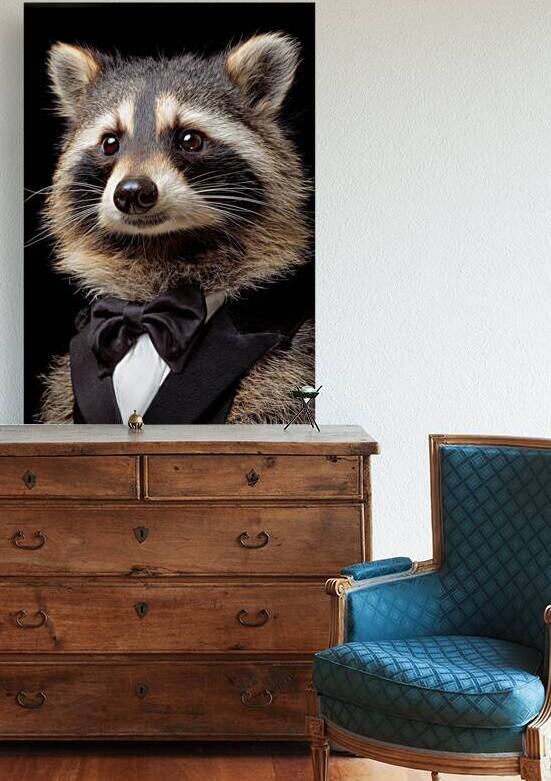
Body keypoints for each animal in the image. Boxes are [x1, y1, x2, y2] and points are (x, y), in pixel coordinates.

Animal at [38, 33, 314, 425]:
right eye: (110, 143)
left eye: (189, 139)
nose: (132, 192)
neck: (161, 249)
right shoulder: (68, 386)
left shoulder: (287, 366)